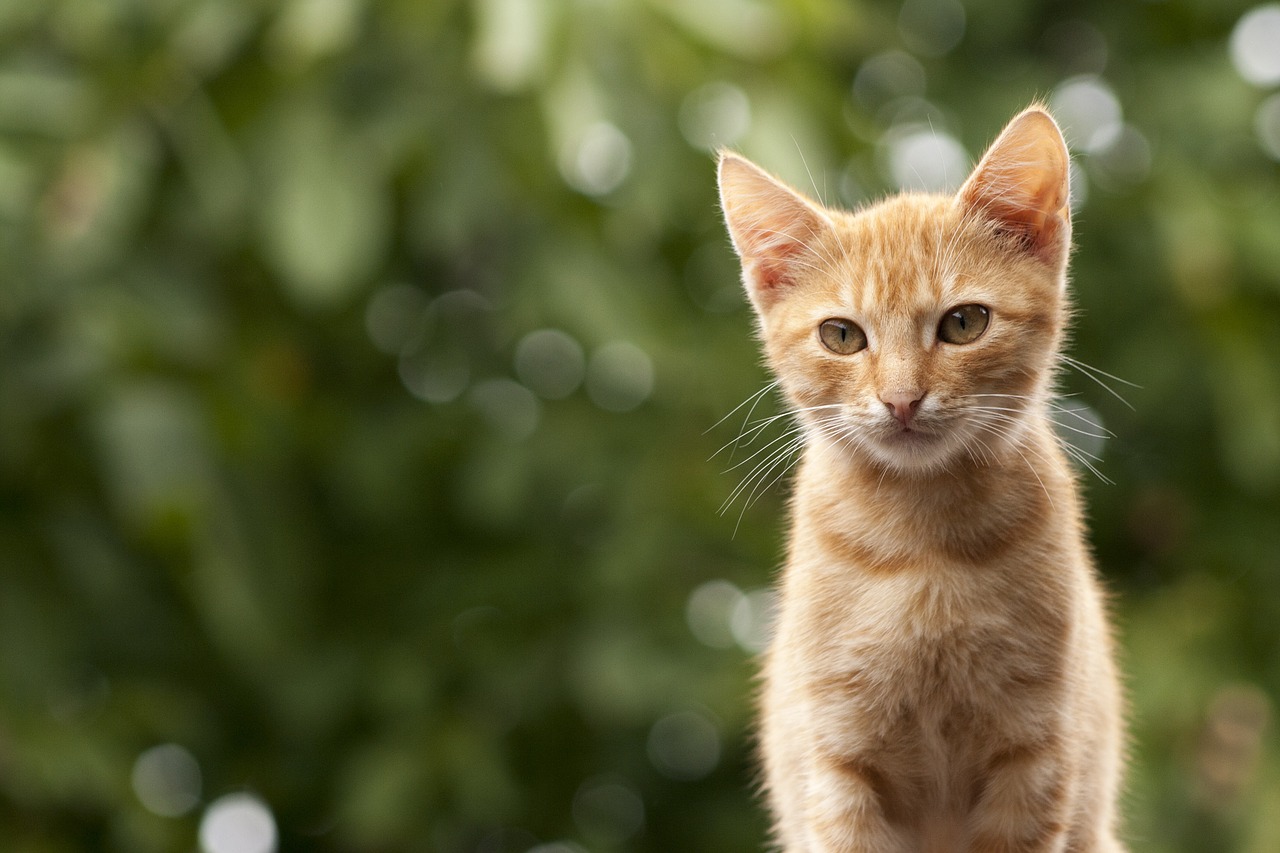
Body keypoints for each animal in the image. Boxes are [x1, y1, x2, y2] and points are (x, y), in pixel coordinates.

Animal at [716, 103, 1126, 845]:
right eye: (842, 335)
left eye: (964, 323)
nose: (902, 400)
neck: (924, 545)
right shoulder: (835, 768)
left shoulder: (1035, 759)